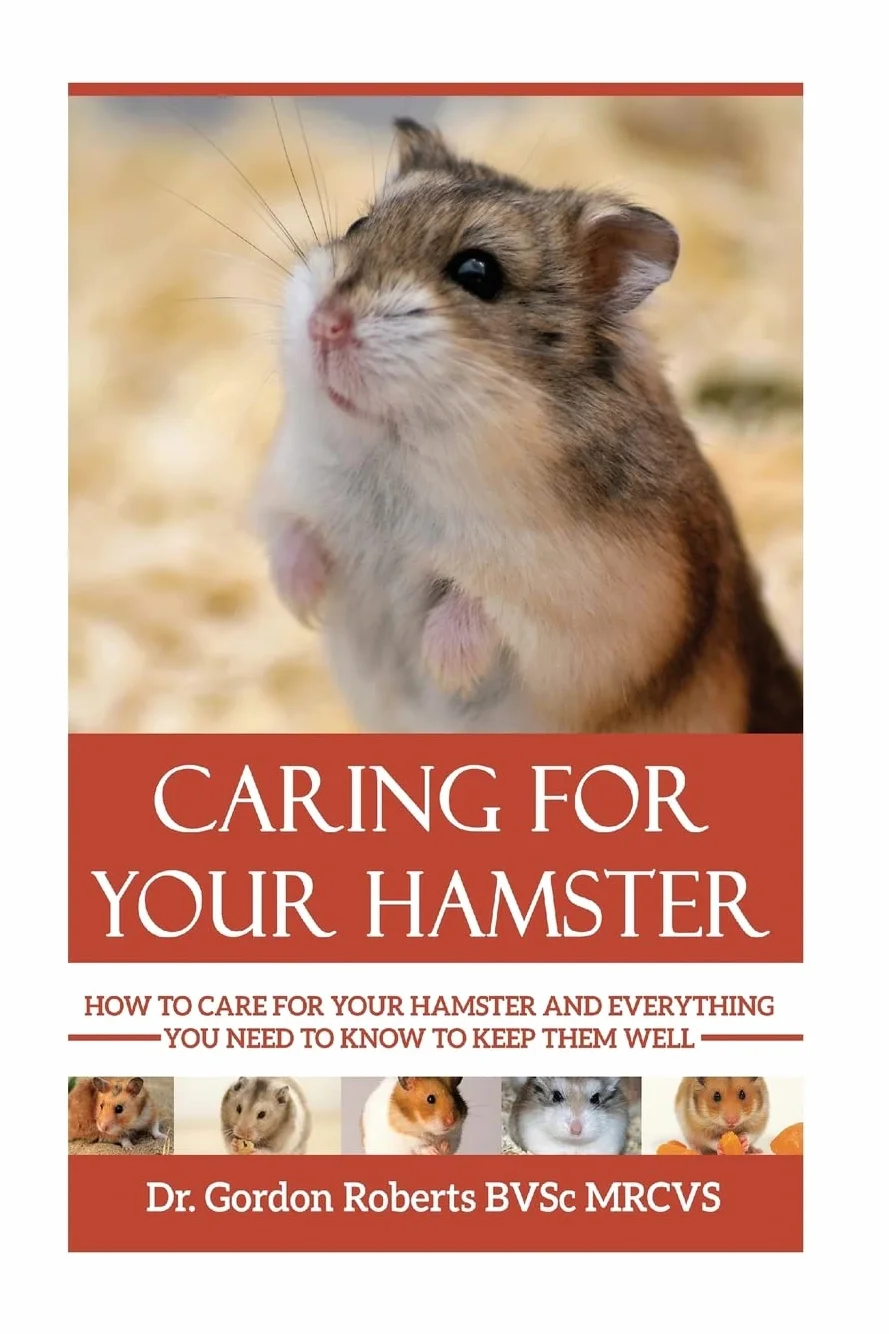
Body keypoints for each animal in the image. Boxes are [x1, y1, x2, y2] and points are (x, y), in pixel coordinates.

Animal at [254, 117, 802, 735]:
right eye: (357, 225)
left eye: (478, 272)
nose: (325, 325)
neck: (394, 456)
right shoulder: (287, 485)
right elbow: (291, 535)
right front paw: (305, 607)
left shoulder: (580, 611)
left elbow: (476, 608)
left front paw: (444, 668)